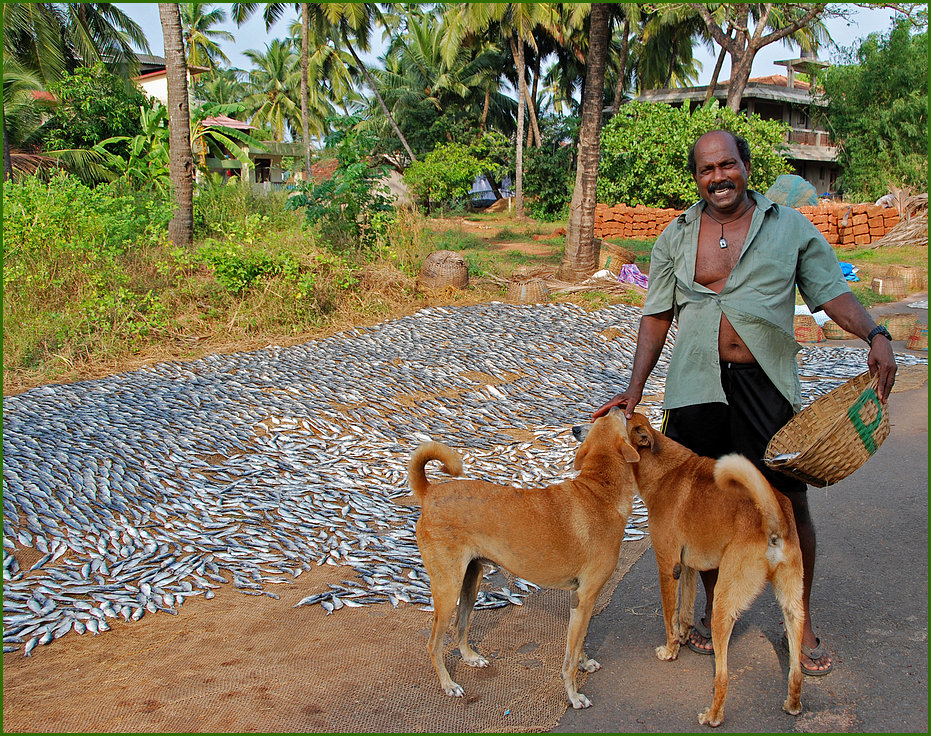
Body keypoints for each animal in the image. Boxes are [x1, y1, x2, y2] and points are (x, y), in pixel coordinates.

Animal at [408, 412, 640, 712]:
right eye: (615, 418)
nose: (620, 407)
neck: (599, 491)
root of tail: (430, 493)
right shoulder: (587, 597)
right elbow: (569, 658)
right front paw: (574, 695)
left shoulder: (578, 600)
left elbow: (577, 644)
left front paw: (585, 662)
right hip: (448, 587)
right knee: (434, 644)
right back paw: (448, 684)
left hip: (471, 579)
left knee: (461, 625)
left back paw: (470, 657)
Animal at [576, 412, 800, 728]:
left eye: (607, 422)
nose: (574, 429)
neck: (663, 470)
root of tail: (774, 519)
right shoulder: (688, 566)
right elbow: (684, 613)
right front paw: (683, 638)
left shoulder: (667, 565)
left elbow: (669, 616)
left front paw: (670, 651)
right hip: (793, 605)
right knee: (795, 671)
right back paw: (793, 704)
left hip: (723, 605)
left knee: (723, 677)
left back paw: (713, 716)